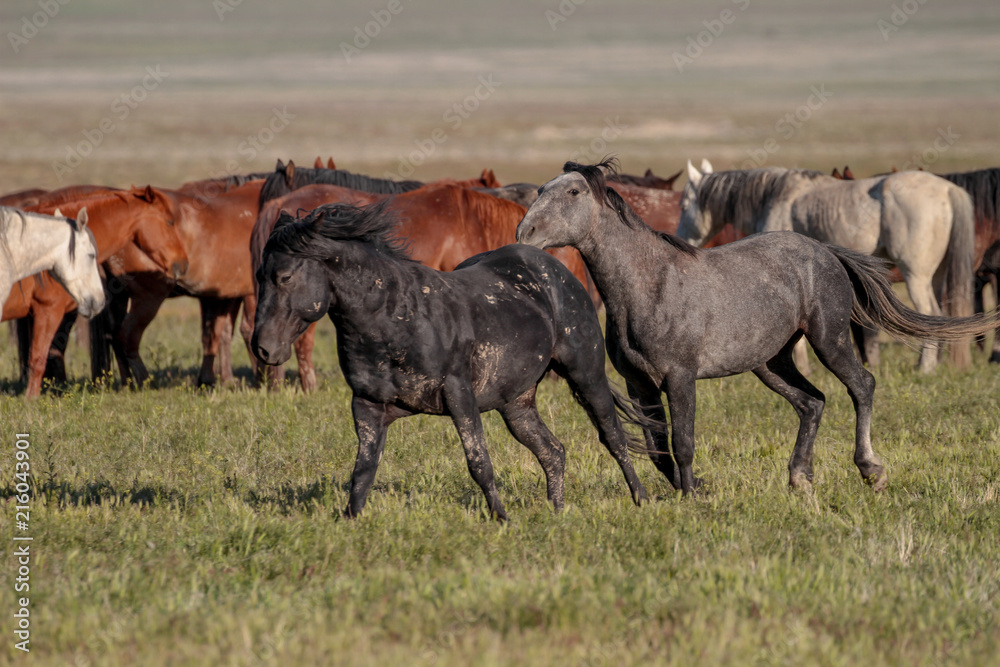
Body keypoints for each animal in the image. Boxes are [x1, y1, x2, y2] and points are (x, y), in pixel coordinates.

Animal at [251, 202, 650, 520]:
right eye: (259, 275)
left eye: (285, 276)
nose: (263, 349)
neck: (397, 319)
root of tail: (557, 270)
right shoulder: (367, 405)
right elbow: (363, 471)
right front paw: (349, 520)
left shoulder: (459, 395)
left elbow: (479, 462)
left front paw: (501, 518)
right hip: (516, 403)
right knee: (553, 452)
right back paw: (557, 511)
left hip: (587, 375)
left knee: (613, 437)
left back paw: (641, 500)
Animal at [677, 161, 978, 372]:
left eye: (684, 203)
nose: (680, 239)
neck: (774, 196)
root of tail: (948, 190)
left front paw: (802, 367)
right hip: (936, 276)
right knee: (937, 318)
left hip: (915, 274)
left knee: (928, 313)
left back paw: (924, 367)